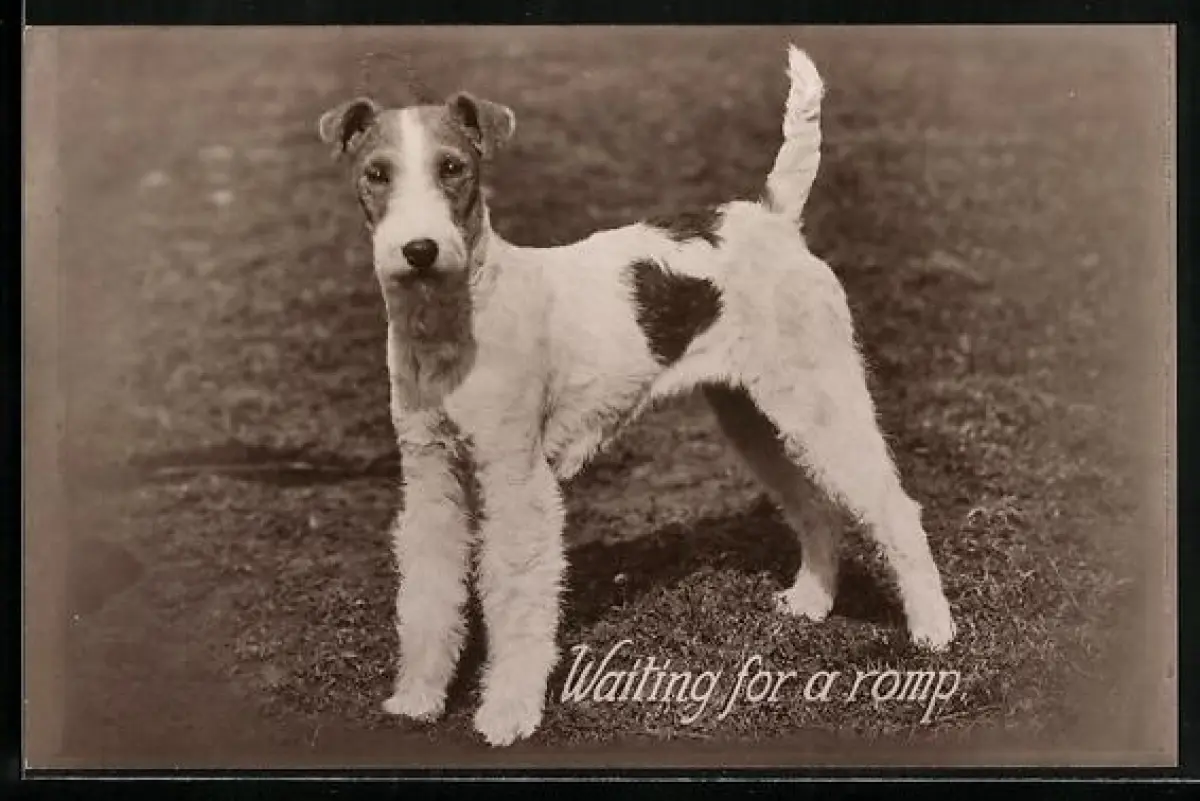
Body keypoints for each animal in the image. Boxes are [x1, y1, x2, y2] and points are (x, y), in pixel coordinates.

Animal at [317, 45, 956, 746]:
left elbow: (516, 597)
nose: (420, 251)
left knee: (895, 508)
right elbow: (428, 594)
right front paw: (418, 698)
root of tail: (772, 217)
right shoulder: (432, 477)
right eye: (377, 173)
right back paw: (810, 602)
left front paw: (508, 712)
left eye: (452, 168)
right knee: (814, 506)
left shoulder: (516, 482)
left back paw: (933, 631)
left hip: (819, 399)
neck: (455, 318)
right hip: (754, 416)